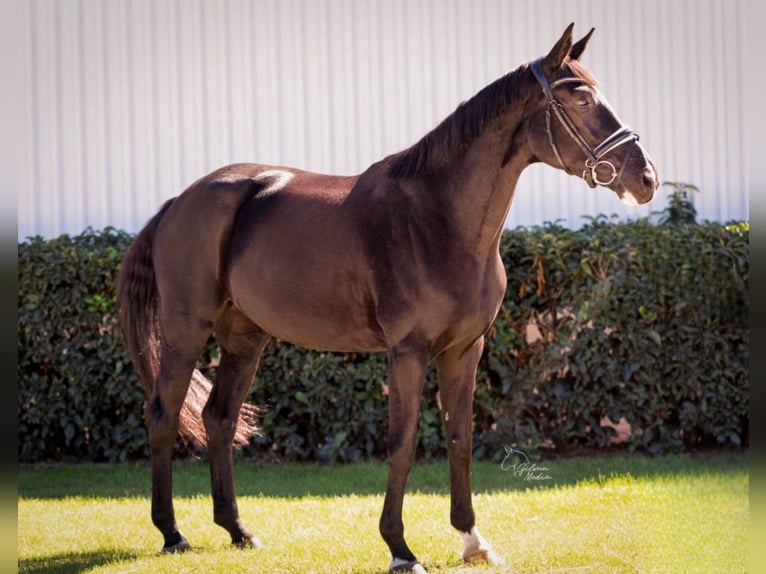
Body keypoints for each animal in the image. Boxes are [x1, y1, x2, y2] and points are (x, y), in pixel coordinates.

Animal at [115, 24, 660, 572]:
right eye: (582, 97)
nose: (647, 178)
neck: (439, 219)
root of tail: (178, 202)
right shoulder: (408, 352)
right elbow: (403, 443)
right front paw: (400, 548)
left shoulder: (465, 350)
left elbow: (460, 439)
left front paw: (472, 540)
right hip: (186, 331)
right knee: (163, 413)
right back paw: (172, 533)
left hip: (245, 339)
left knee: (219, 419)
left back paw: (238, 531)